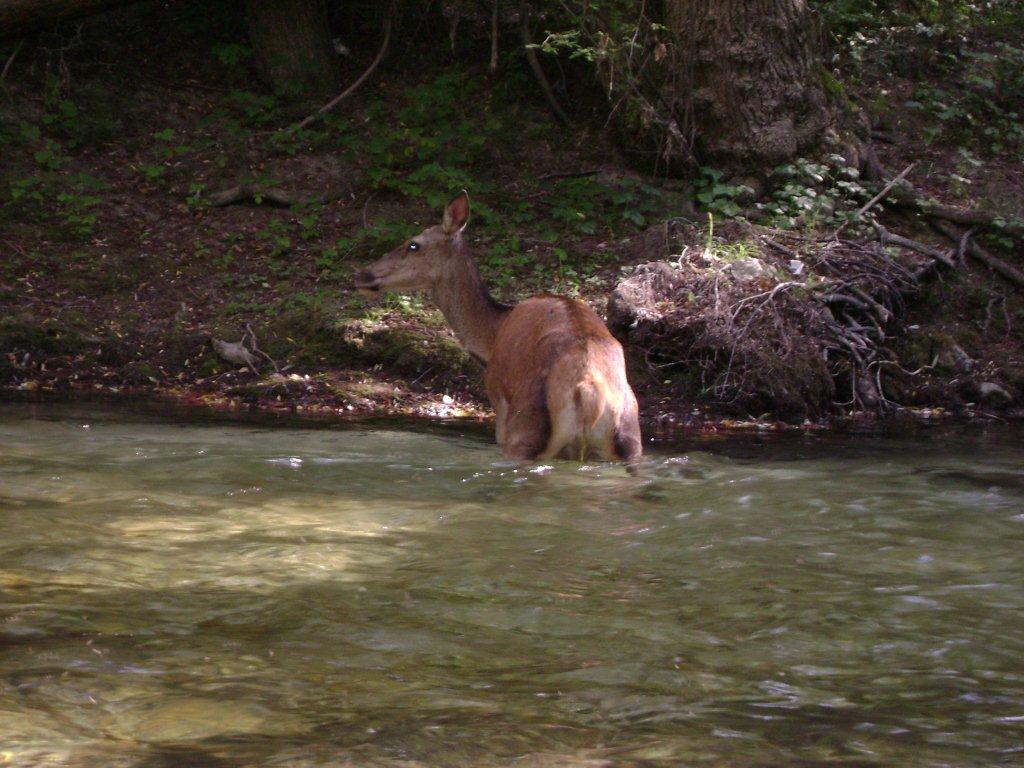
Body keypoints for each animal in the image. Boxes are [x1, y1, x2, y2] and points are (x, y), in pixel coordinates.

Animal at [354, 195, 638, 466]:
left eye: (413, 244)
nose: (362, 274)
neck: (492, 335)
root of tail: (588, 391)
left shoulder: (497, 400)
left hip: (523, 429)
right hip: (630, 437)